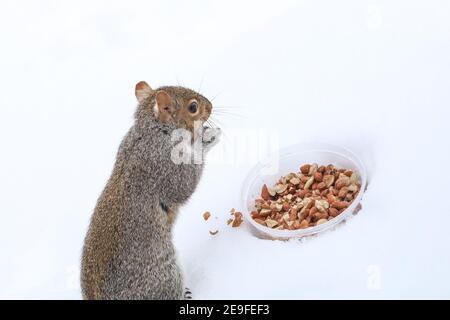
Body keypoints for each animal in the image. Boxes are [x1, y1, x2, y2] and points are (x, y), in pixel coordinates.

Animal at [82, 80, 221, 300]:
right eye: (193, 107)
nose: (210, 107)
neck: (152, 132)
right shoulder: (165, 165)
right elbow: (185, 186)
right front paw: (206, 137)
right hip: (164, 276)